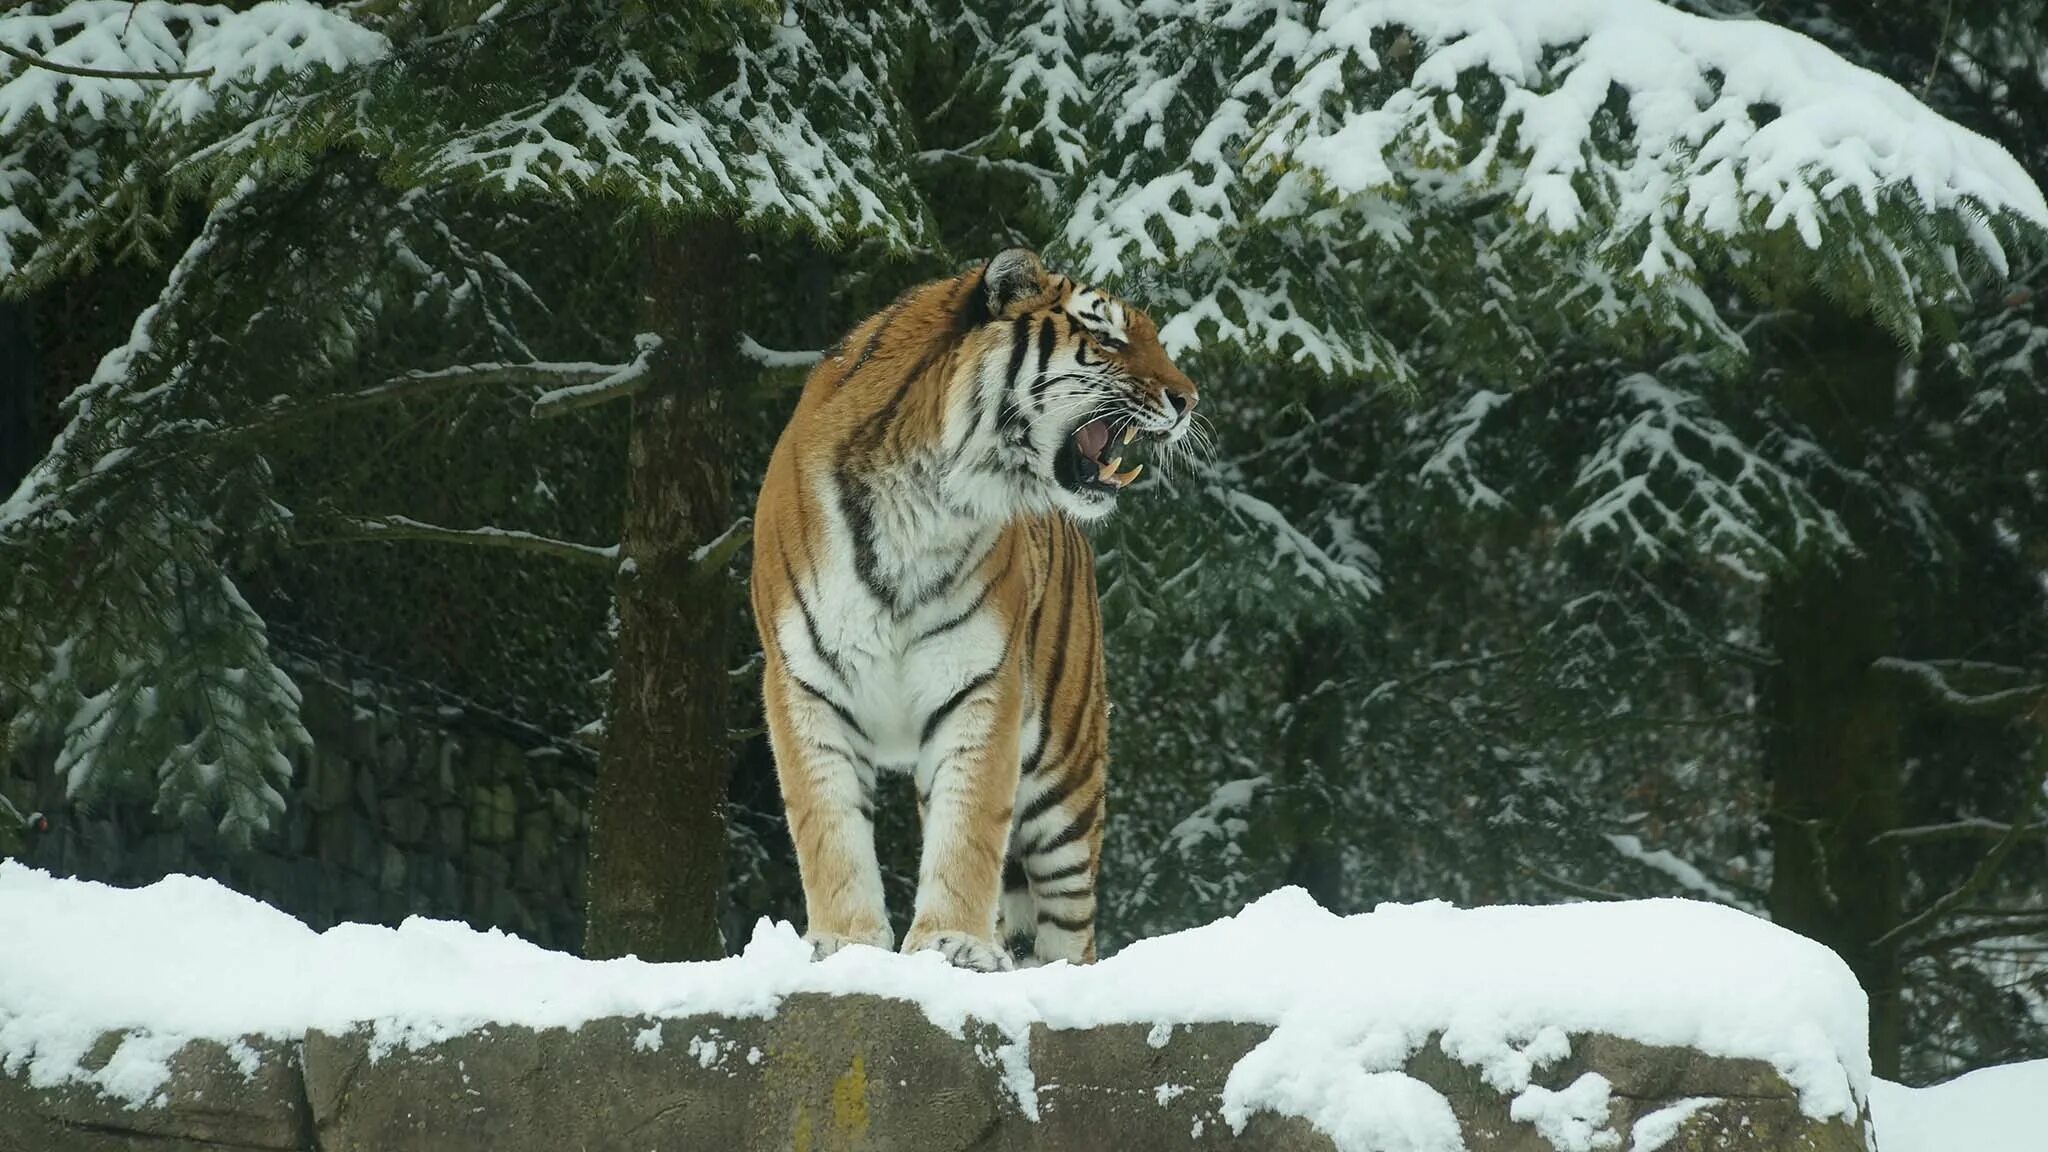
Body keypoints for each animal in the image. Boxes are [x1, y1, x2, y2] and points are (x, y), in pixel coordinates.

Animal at [753, 243, 1196, 967]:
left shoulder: (980, 683)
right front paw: (845, 943)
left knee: (1070, 929)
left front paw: (951, 942)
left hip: (1066, 784)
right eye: (1107, 337)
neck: (924, 495)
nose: (1189, 400)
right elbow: (830, 827)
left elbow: (966, 830)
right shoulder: (804, 683)